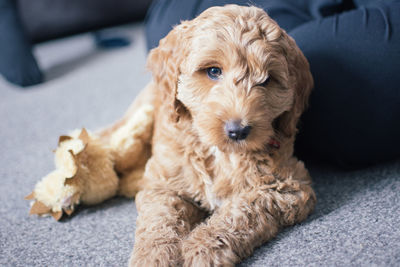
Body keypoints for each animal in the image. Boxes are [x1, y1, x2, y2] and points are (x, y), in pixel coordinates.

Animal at [27, 4, 316, 267]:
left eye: (267, 80)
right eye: (213, 71)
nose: (238, 131)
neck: (216, 152)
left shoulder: (289, 185)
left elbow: (243, 209)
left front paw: (202, 247)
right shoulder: (163, 185)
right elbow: (159, 221)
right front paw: (153, 257)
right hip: (137, 123)